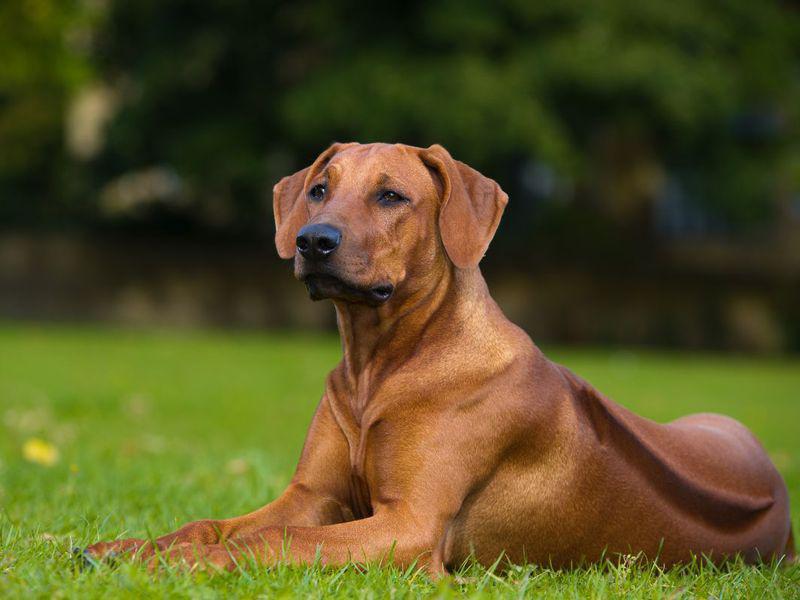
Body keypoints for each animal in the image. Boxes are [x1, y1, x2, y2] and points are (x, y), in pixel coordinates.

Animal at [87, 143, 792, 576]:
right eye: (318, 190)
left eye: (391, 197)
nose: (313, 241)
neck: (379, 367)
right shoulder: (312, 495)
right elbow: (215, 522)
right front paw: (132, 545)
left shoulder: (411, 526)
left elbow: (278, 539)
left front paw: (170, 563)